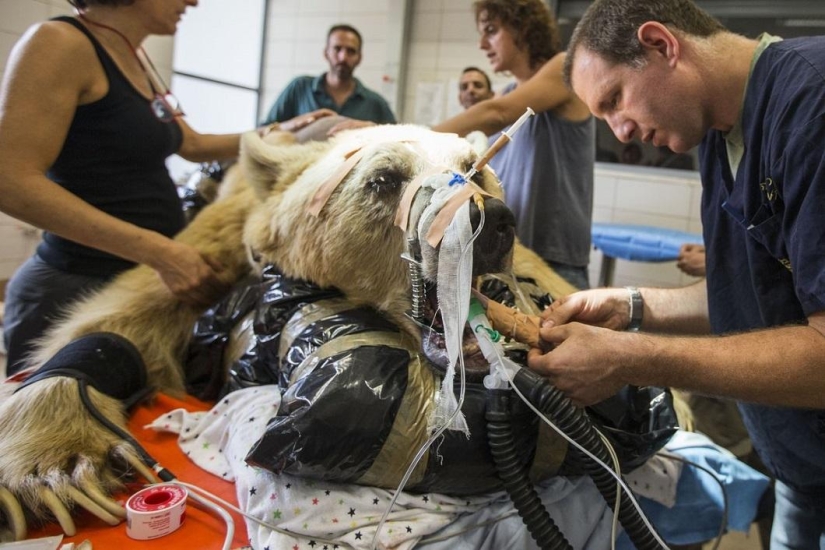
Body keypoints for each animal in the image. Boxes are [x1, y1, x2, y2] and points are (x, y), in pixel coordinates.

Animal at [0, 123, 580, 540]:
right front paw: (60, 469)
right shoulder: (219, 245)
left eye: (475, 172)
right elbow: (120, 322)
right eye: (385, 178)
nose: (490, 222)